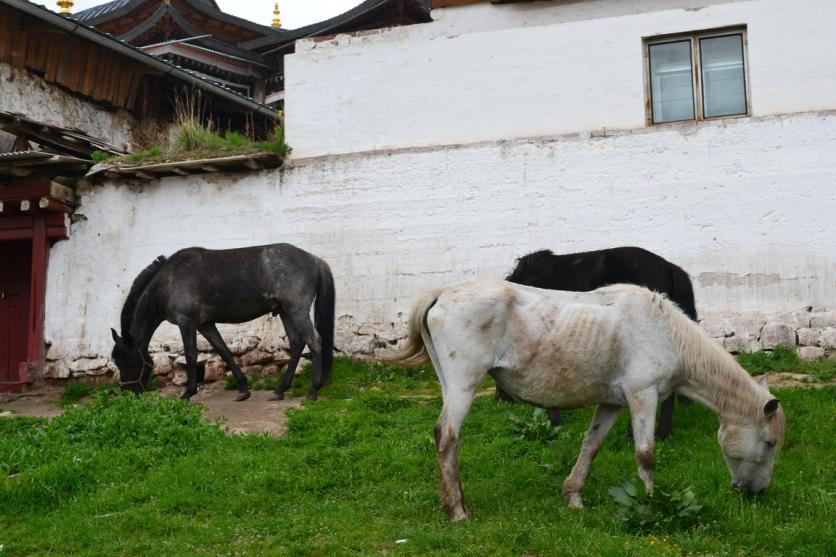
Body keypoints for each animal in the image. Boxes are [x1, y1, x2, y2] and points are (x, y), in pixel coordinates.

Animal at [110, 242, 334, 400]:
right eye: (117, 361)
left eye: (131, 361)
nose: (130, 393)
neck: (169, 281)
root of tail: (314, 260)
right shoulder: (205, 324)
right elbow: (223, 350)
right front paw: (243, 389)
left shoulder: (187, 322)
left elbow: (191, 355)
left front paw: (188, 393)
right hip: (285, 311)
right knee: (297, 344)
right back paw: (280, 390)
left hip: (297, 310)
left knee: (314, 341)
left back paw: (312, 391)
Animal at [388, 278, 788, 520]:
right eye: (769, 443)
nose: (757, 492)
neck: (664, 332)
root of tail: (442, 293)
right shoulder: (643, 396)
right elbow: (645, 455)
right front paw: (652, 503)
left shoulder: (613, 403)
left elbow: (591, 446)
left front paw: (573, 498)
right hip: (462, 387)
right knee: (447, 437)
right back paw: (457, 511)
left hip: (449, 385)